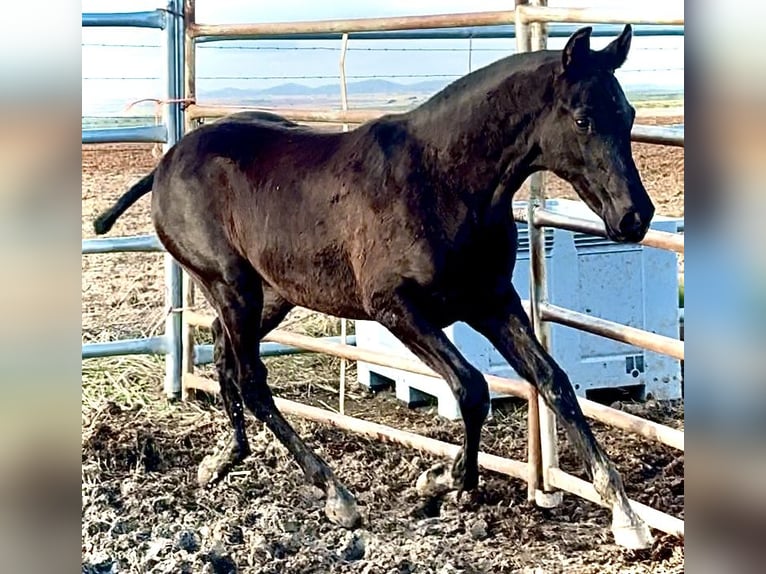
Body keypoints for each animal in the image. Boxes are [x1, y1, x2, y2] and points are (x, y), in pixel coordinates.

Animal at [93, 25, 655, 549]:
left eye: (627, 115)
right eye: (583, 119)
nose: (635, 216)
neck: (443, 180)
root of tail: (165, 165)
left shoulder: (492, 301)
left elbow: (553, 381)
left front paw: (626, 516)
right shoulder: (396, 307)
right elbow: (472, 388)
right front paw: (442, 481)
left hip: (271, 294)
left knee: (227, 358)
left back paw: (222, 460)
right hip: (231, 285)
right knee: (251, 377)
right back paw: (334, 494)